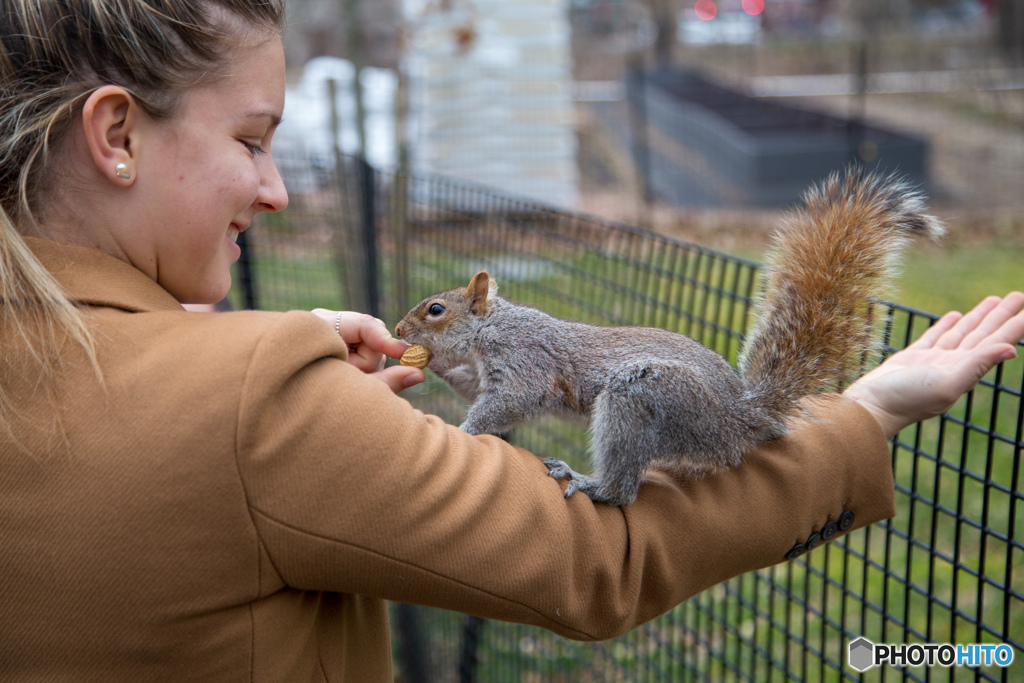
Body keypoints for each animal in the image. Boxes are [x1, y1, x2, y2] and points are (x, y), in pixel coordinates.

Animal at [391, 167, 942, 505]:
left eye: (435, 310)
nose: (397, 329)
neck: (493, 326)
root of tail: (739, 419)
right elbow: (470, 385)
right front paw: (431, 365)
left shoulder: (524, 359)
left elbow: (507, 400)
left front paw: (461, 433)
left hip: (644, 396)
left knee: (623, 488)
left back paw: (590, 484)